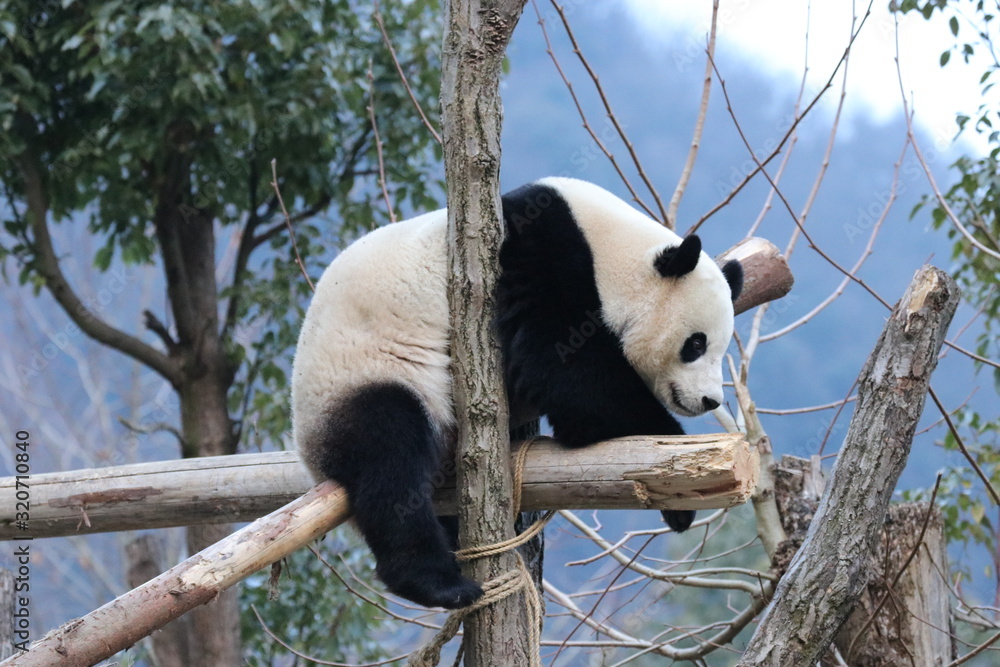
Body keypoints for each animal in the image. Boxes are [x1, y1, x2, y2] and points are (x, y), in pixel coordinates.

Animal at [292, 177, 743, 610]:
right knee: (391, 455)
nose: (710, 401)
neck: (610, 249)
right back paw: (436, 583)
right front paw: (674, 465)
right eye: (696, 344)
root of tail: (311, 455)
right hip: (364, 374)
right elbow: (557, 363)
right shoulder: (540, 251)